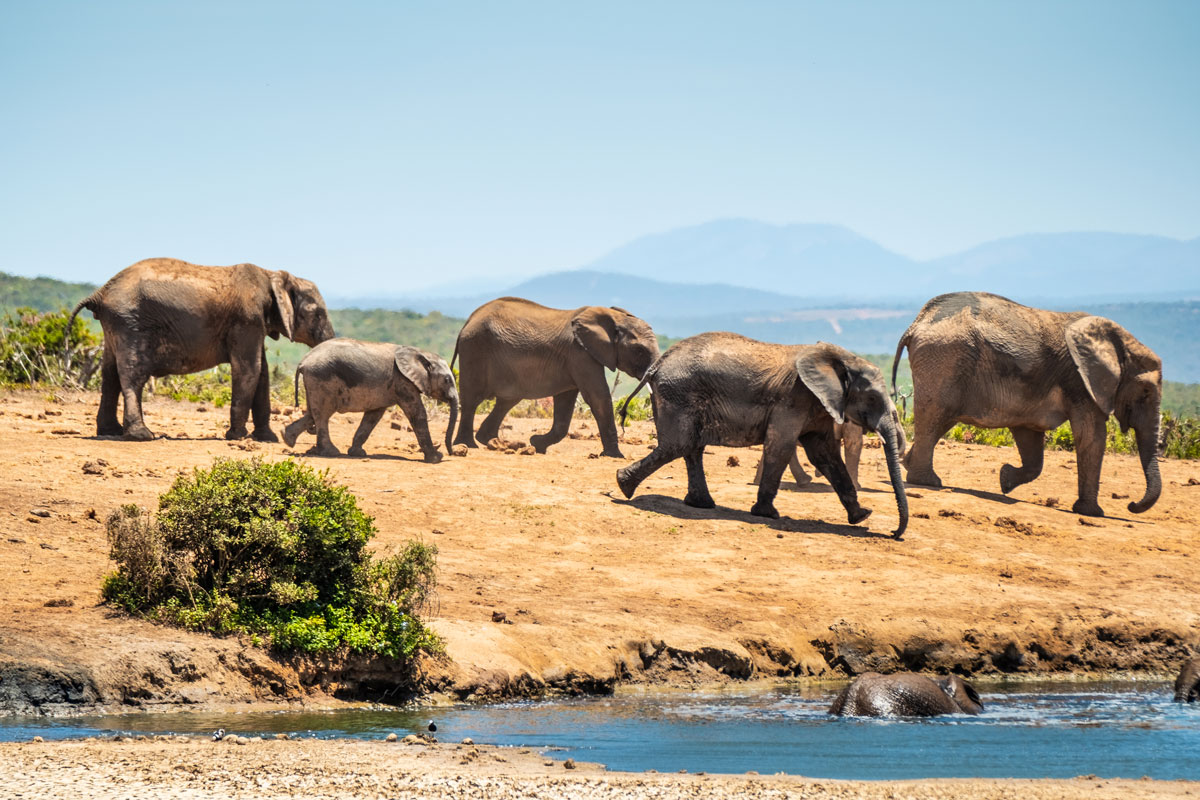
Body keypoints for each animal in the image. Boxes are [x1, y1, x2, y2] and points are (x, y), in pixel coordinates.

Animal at [67, 258, 334, 442]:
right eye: (319, 314)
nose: (311, 429)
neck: (273, 275)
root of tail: (100, 293)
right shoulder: (246, 320)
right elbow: (250, 369)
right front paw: (237, 437)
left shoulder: (254, 324)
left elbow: (262, 373)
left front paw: (267, 439)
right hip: (130, 323)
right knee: (133, 375)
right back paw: (141, 436)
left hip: (115, 325)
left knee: (109, 375)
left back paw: (110, 431)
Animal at [282, 338, 458, 462]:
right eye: (447, 380)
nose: (452, 453)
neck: (420, 353)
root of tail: (303, 361)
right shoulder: (402, 381)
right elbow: (417, 414)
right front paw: (436, 459)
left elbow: (373, 416)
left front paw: (357, 453)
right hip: (321, 378)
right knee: (323, 414)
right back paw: (331, 452)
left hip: (314, 382)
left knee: (313, 413)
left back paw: (287, 438)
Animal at [452, 297, 660, 458]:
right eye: (639, 350)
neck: (613, 317)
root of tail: (468, 321)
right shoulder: (580, 354)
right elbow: (598, 398)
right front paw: (616, 456)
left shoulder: (574, 359)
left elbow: (565, 405)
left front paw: (537, 444)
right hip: (475, 348)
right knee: (471, 400)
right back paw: (468, 445)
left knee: (507, 401)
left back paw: (493, 442)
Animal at [615, 333, 909, 538]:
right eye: (872, 398)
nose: (893, 533)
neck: (843, 359)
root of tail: (657, 364)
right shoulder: (794, 398)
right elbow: (781, 446)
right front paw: (768, 514)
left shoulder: (819, 406)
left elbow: (825, 456)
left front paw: (861, 516)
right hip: (679, 393)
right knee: (679, 444)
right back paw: (623, 485)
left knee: (691, 446)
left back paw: (701, 504)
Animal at [893, 292, 1163, 517]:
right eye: (1146, 392)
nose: (1131, 505)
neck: (1118, 342)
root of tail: (917, 323)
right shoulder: (1081, 382)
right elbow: (1091, 436)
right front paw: (1092, 513)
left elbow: (1031, 438)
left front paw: (1005, 480)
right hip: (943, 359)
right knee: (935, 415)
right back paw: (928, 482)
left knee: (940, 420)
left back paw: (911, 467)